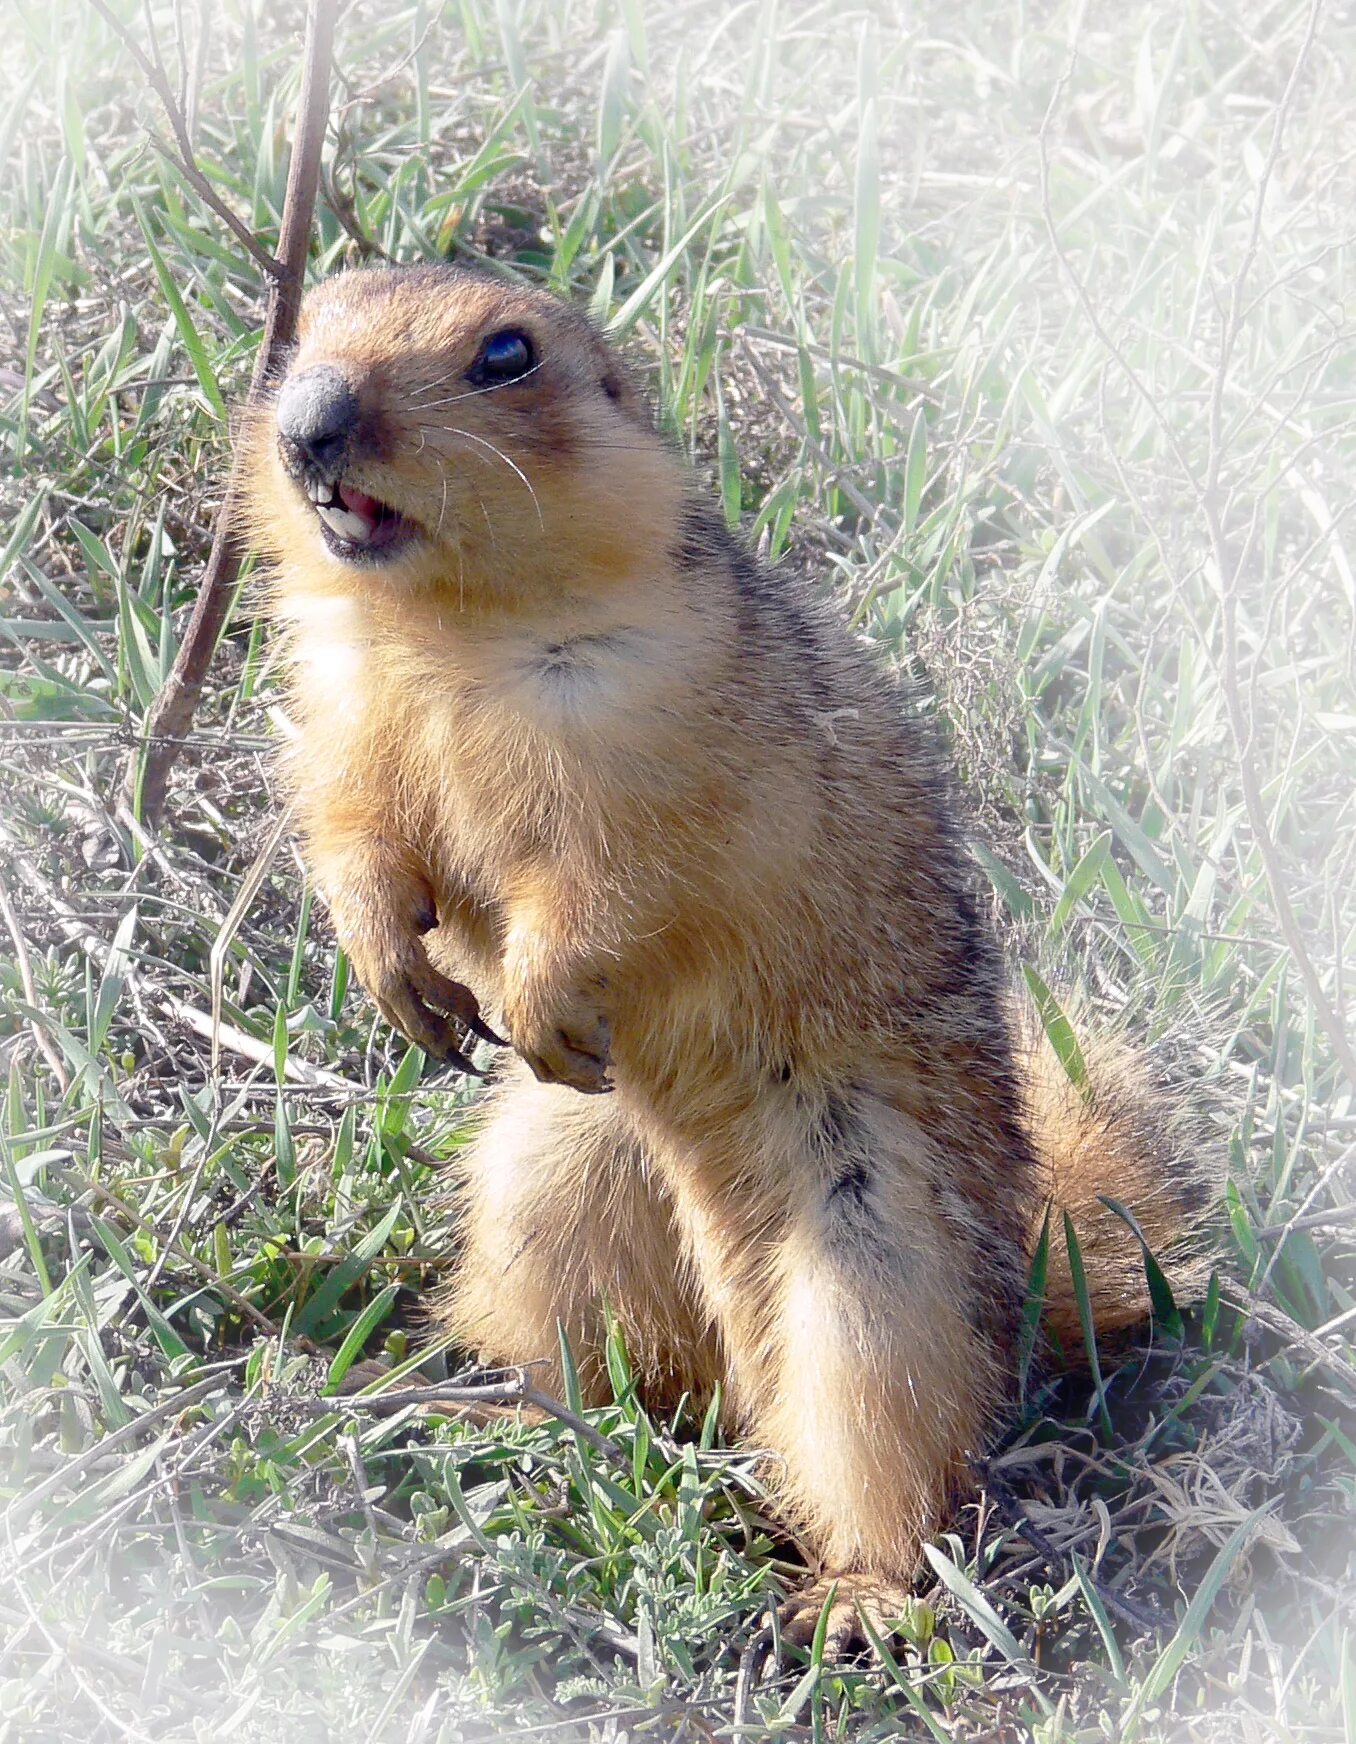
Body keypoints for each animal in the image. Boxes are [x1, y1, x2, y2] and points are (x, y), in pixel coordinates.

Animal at [242, 258, 1213, 1646]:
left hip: (878, 1258)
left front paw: (532, 995)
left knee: (898, 1449)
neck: (445, 635)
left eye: (504, 354)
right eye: (305, 323)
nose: (309, 423)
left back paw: (855, 1595)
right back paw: (466, 1397)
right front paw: (396, 976)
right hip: (552, 1178)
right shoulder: (341, 702)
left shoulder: (656, 728)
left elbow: (610, 881)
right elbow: (351, 826)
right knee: (607, 1366)